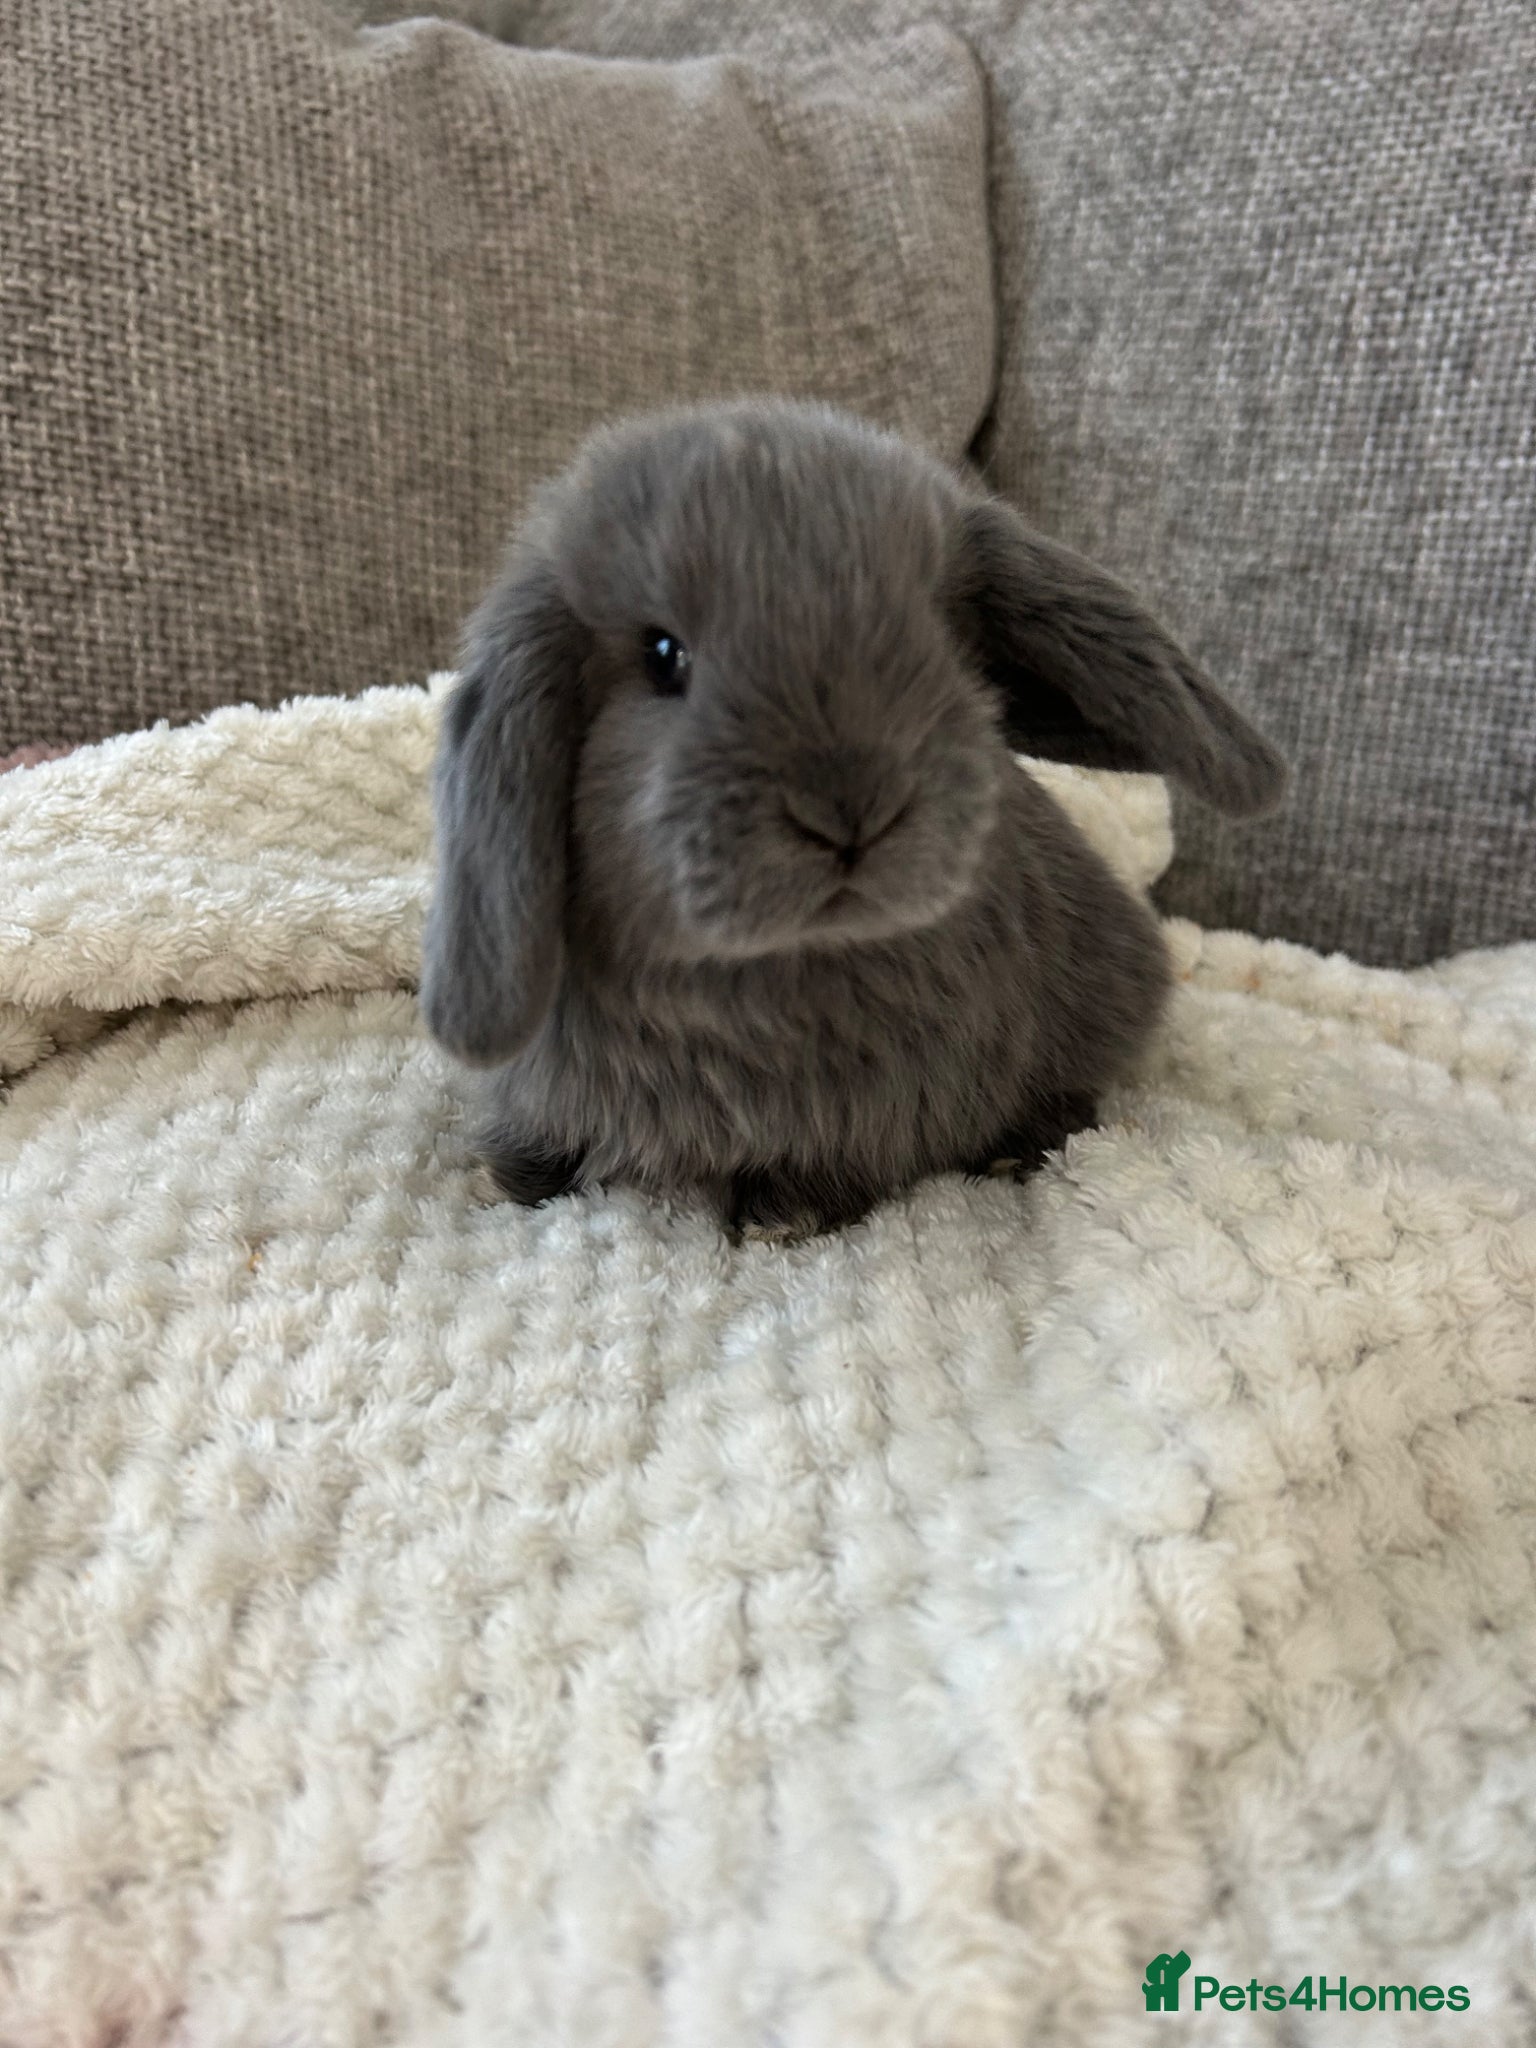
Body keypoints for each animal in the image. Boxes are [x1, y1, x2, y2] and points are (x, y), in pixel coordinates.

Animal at [420, 397, 1286, 1239]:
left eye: (944, 650)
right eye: (663, 656)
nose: (851, 810)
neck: (760, 971)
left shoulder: (886, 1104)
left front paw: (784, 1218)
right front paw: (505, 1175)